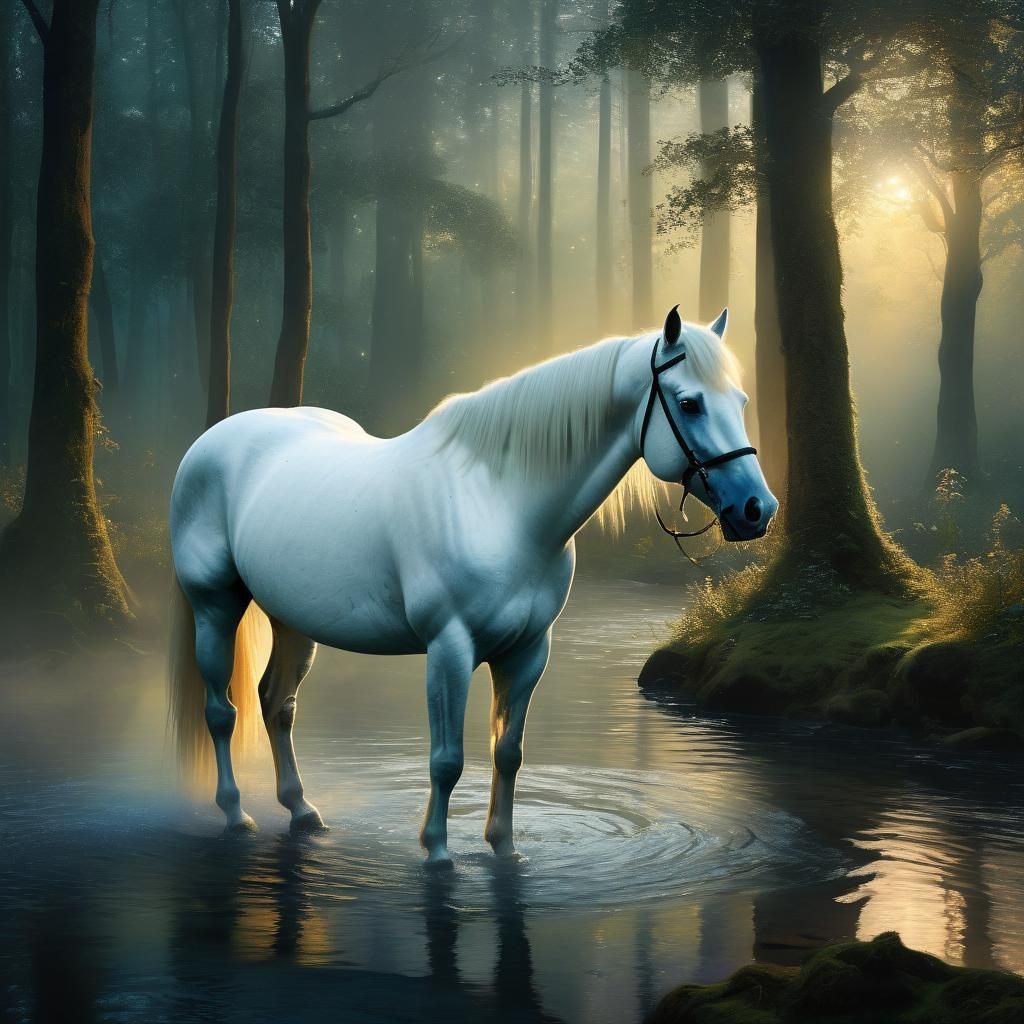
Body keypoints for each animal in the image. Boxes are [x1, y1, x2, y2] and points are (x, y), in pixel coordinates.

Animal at [168, 305, 778, 865]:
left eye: (742, 403)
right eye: (690, 403)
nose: (757, 509)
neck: (501, 506)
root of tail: (215, 439)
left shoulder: (530, 651)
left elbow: (508, 752)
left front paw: (504, 849)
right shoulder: (450, 649)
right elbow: (447, 759)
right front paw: (438, 853)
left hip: (293, 619)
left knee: (277, 706)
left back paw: (301, 811)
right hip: (215, 607)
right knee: (223, 713)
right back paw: (235, 815)